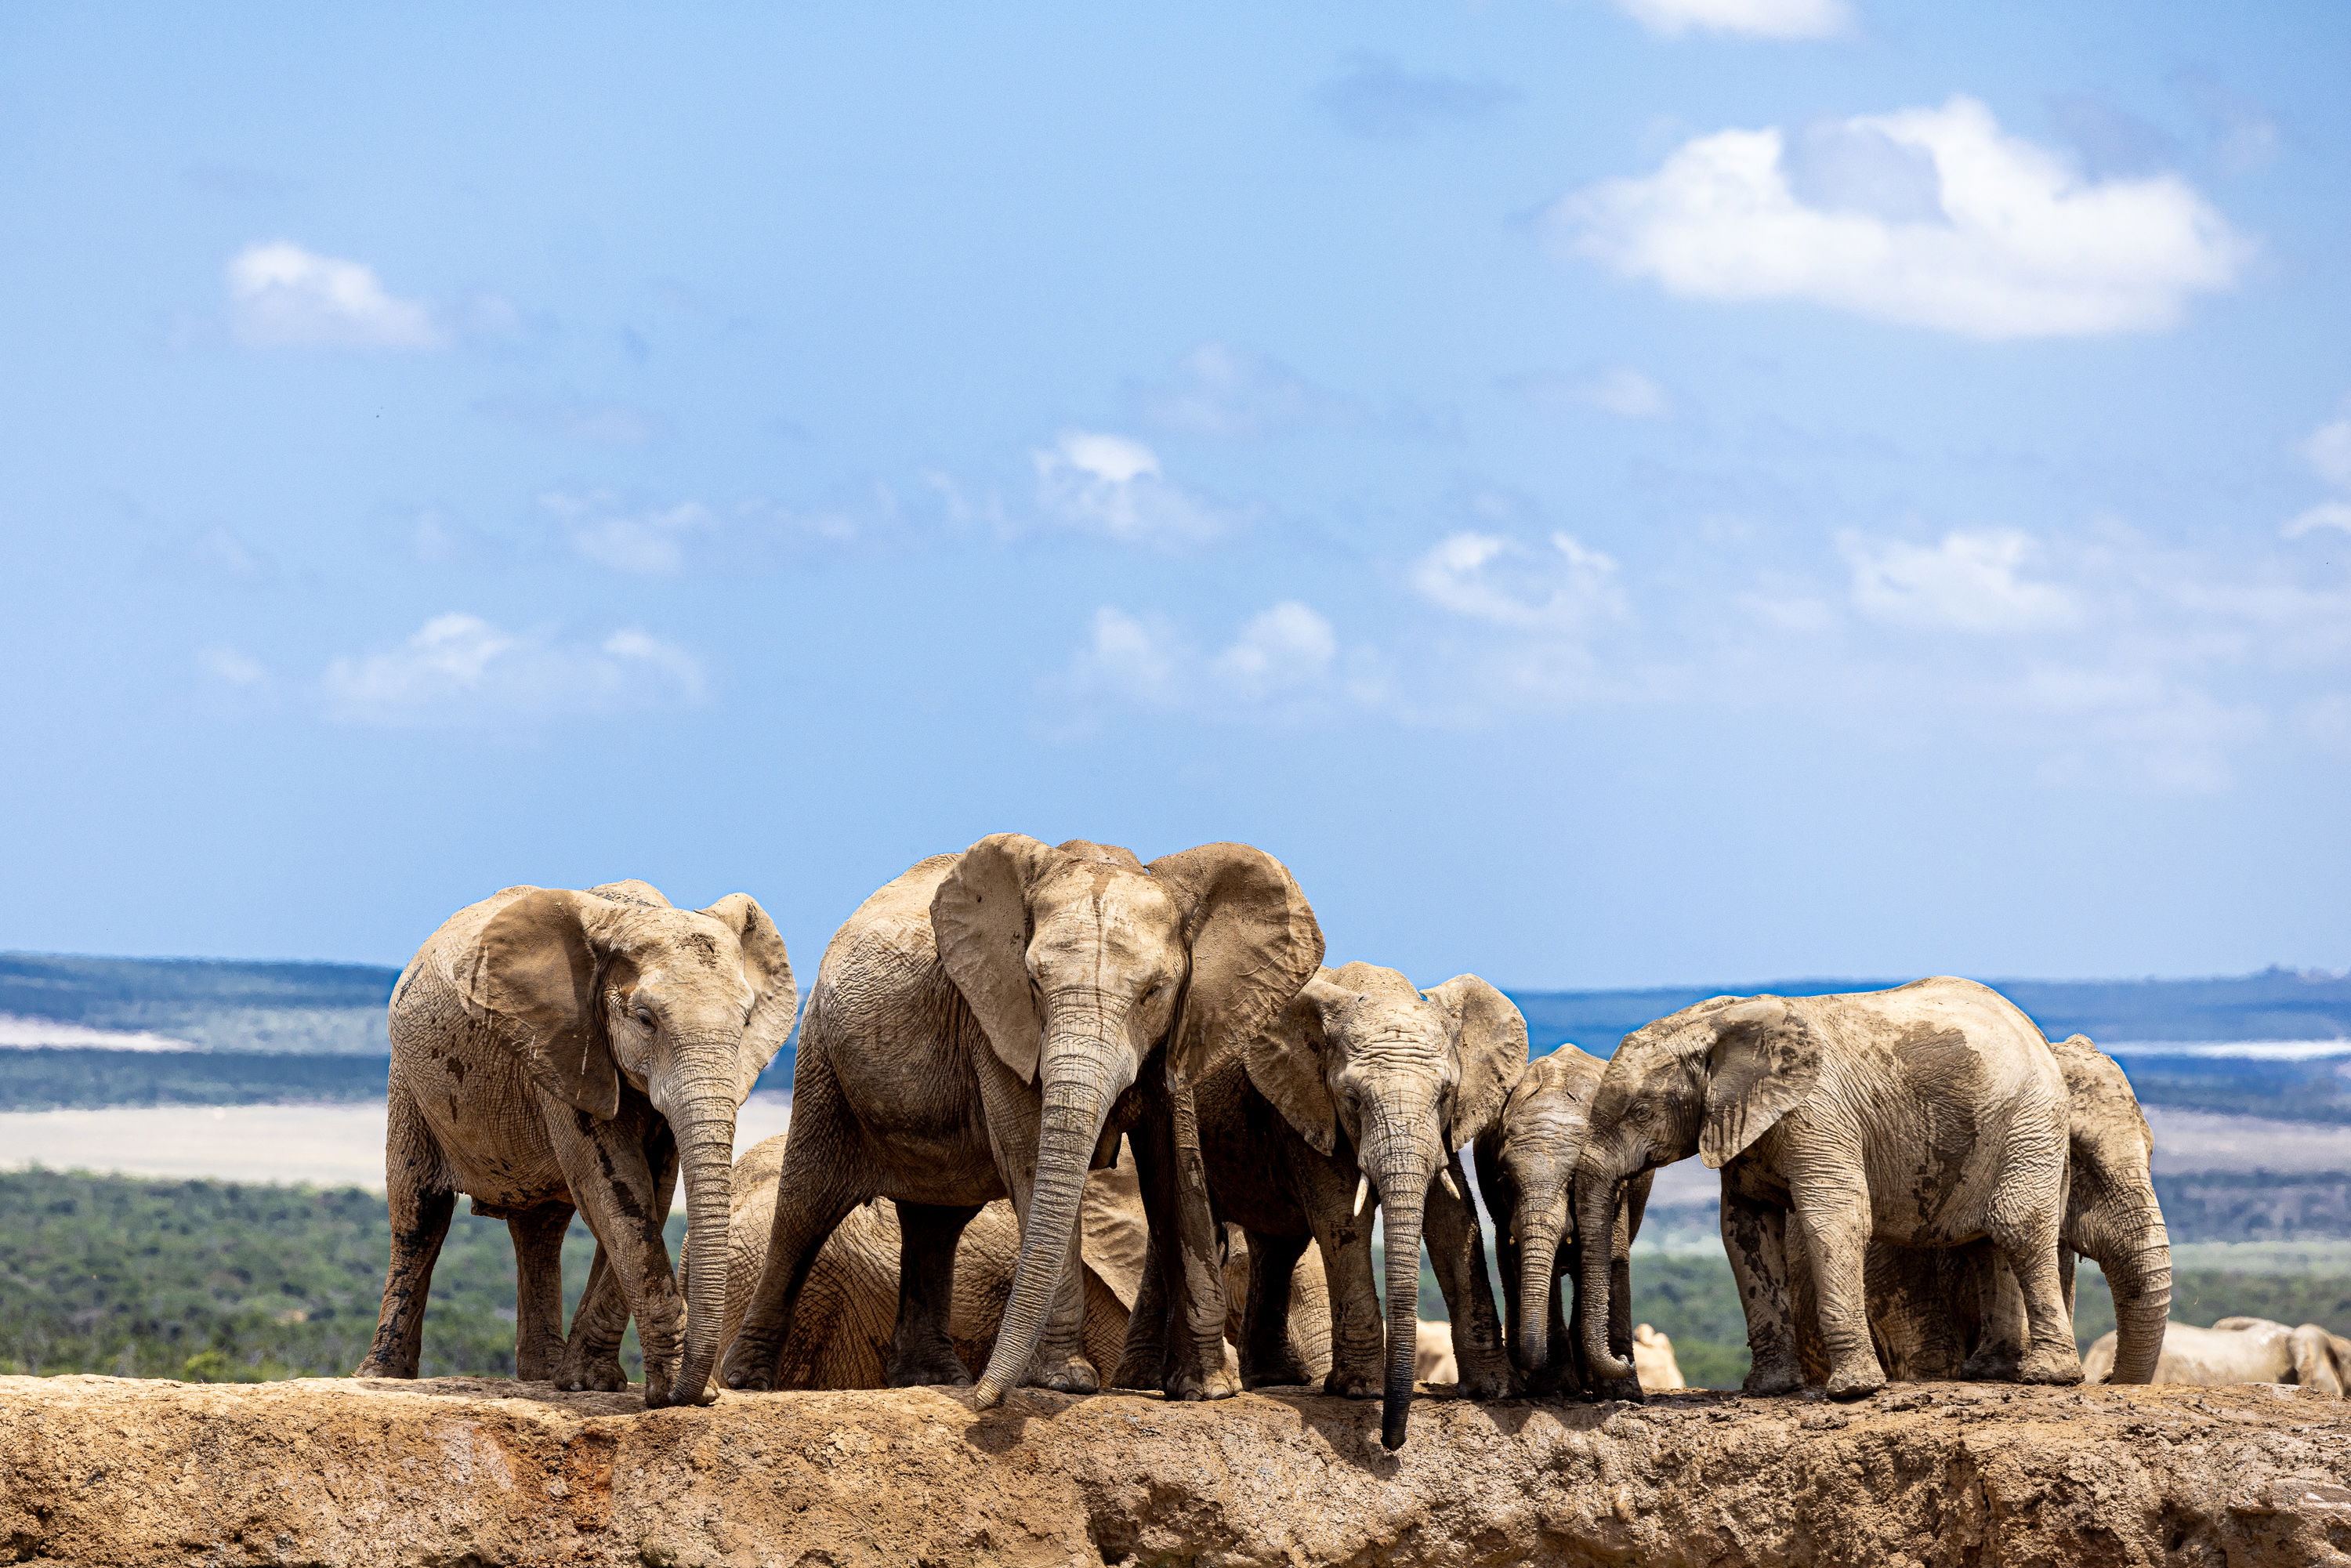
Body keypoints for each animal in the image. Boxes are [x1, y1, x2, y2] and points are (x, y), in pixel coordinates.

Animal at [355, 879, 795, 1407]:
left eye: (746, 1020)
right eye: (645, 1019)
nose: (696, 1394)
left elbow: (651, 1192)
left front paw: (589, 1383)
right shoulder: (566, 1049)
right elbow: (614, 1189)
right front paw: (668, 1390)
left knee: (540, 1228)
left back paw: (541, 1374)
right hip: (409, 1084)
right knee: (419, 1214)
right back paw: (382, 1376)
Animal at [1178, 962, 1522, 1449]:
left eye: (1443, 1097)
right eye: (1354, 1100)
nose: (1392, 1442)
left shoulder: (1445, 1128)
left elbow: (1453, 1218)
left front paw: (1496, 1391)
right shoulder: (1309, 1104)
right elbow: (1343, 1217)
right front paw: (1361, 1391)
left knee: (1277, 1247)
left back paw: (1276, 1379)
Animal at [1473, 1044, 1653, 1401]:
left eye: (1574, 1182)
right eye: (1506, 1180)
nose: (1626, 1361)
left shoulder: (1618, 1184)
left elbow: (1613, 1257)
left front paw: (1623, 1394)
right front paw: (1554, 1389)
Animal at [1571, 977, 2079, 1400]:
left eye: (1641, 1112)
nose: (1627, 1359)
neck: (1713, 1023)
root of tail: (2033, 1031)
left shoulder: (1817, 1113)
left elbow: (1834, 1219)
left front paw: (1854, 1391)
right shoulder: (1745, 1124)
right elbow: (1743, 1230)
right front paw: (1769, 1390)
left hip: (2028, 1120)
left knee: (2017, 1226)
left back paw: (2048, 1377)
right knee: (1984, 1243)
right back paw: (1989, 1372)